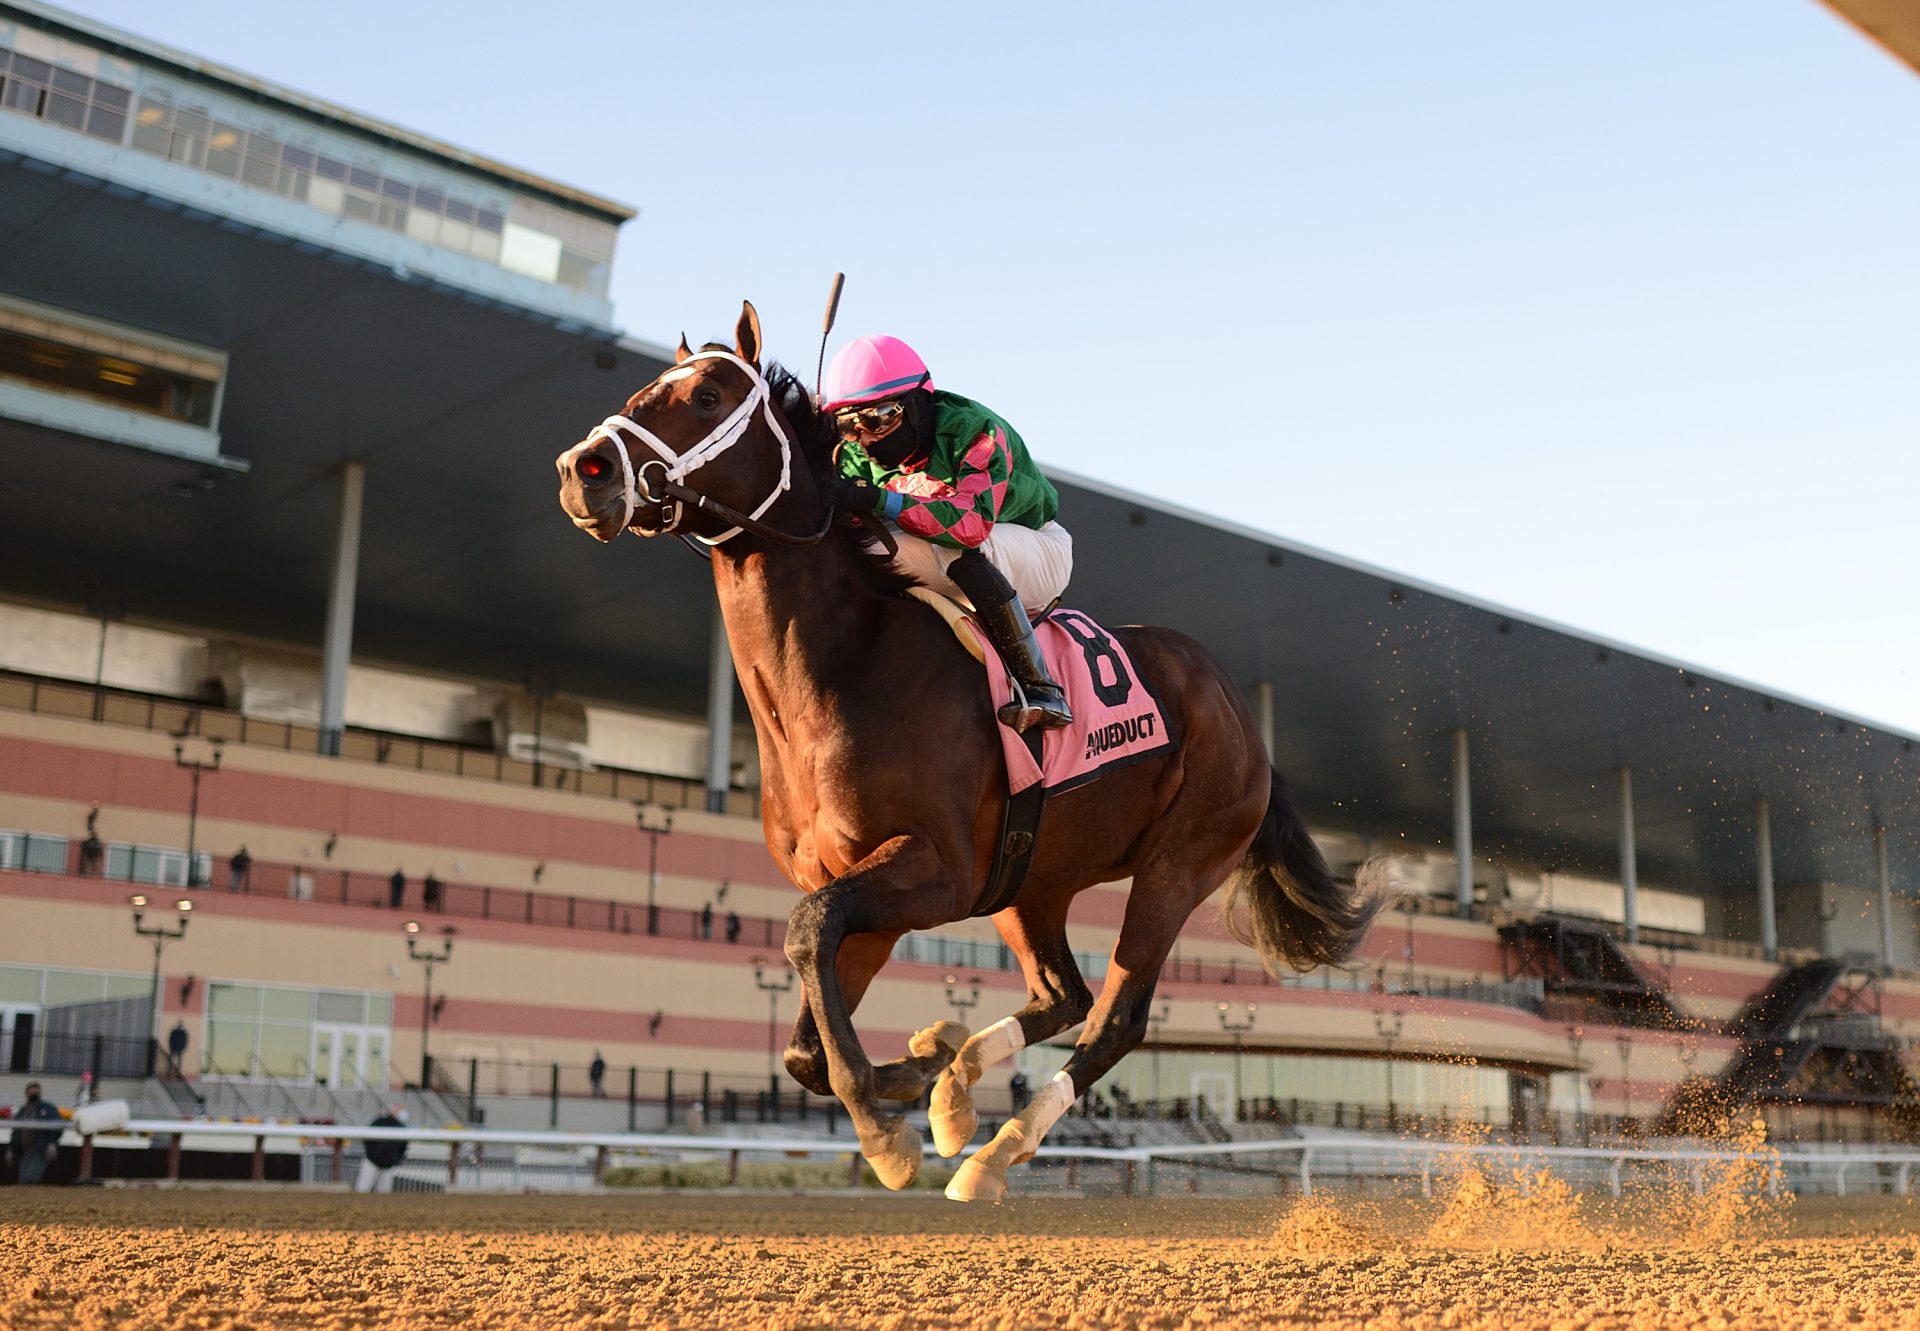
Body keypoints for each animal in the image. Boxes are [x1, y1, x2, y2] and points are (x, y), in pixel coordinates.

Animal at [549, 305, 1390, 1198]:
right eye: (646, 390)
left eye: (707, 394)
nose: (583, 469)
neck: (845, 665)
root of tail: (1236, 705)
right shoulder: (857, 879)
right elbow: (805, 1030)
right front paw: (911, 1076)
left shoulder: (936, 870)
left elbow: (808, 937)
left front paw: (886, 1128)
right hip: (1030, 876)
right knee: (1062, 993)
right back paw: (956, 1085)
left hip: (1178, 861)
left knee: (1115, 1016)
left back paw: (994, 1150)